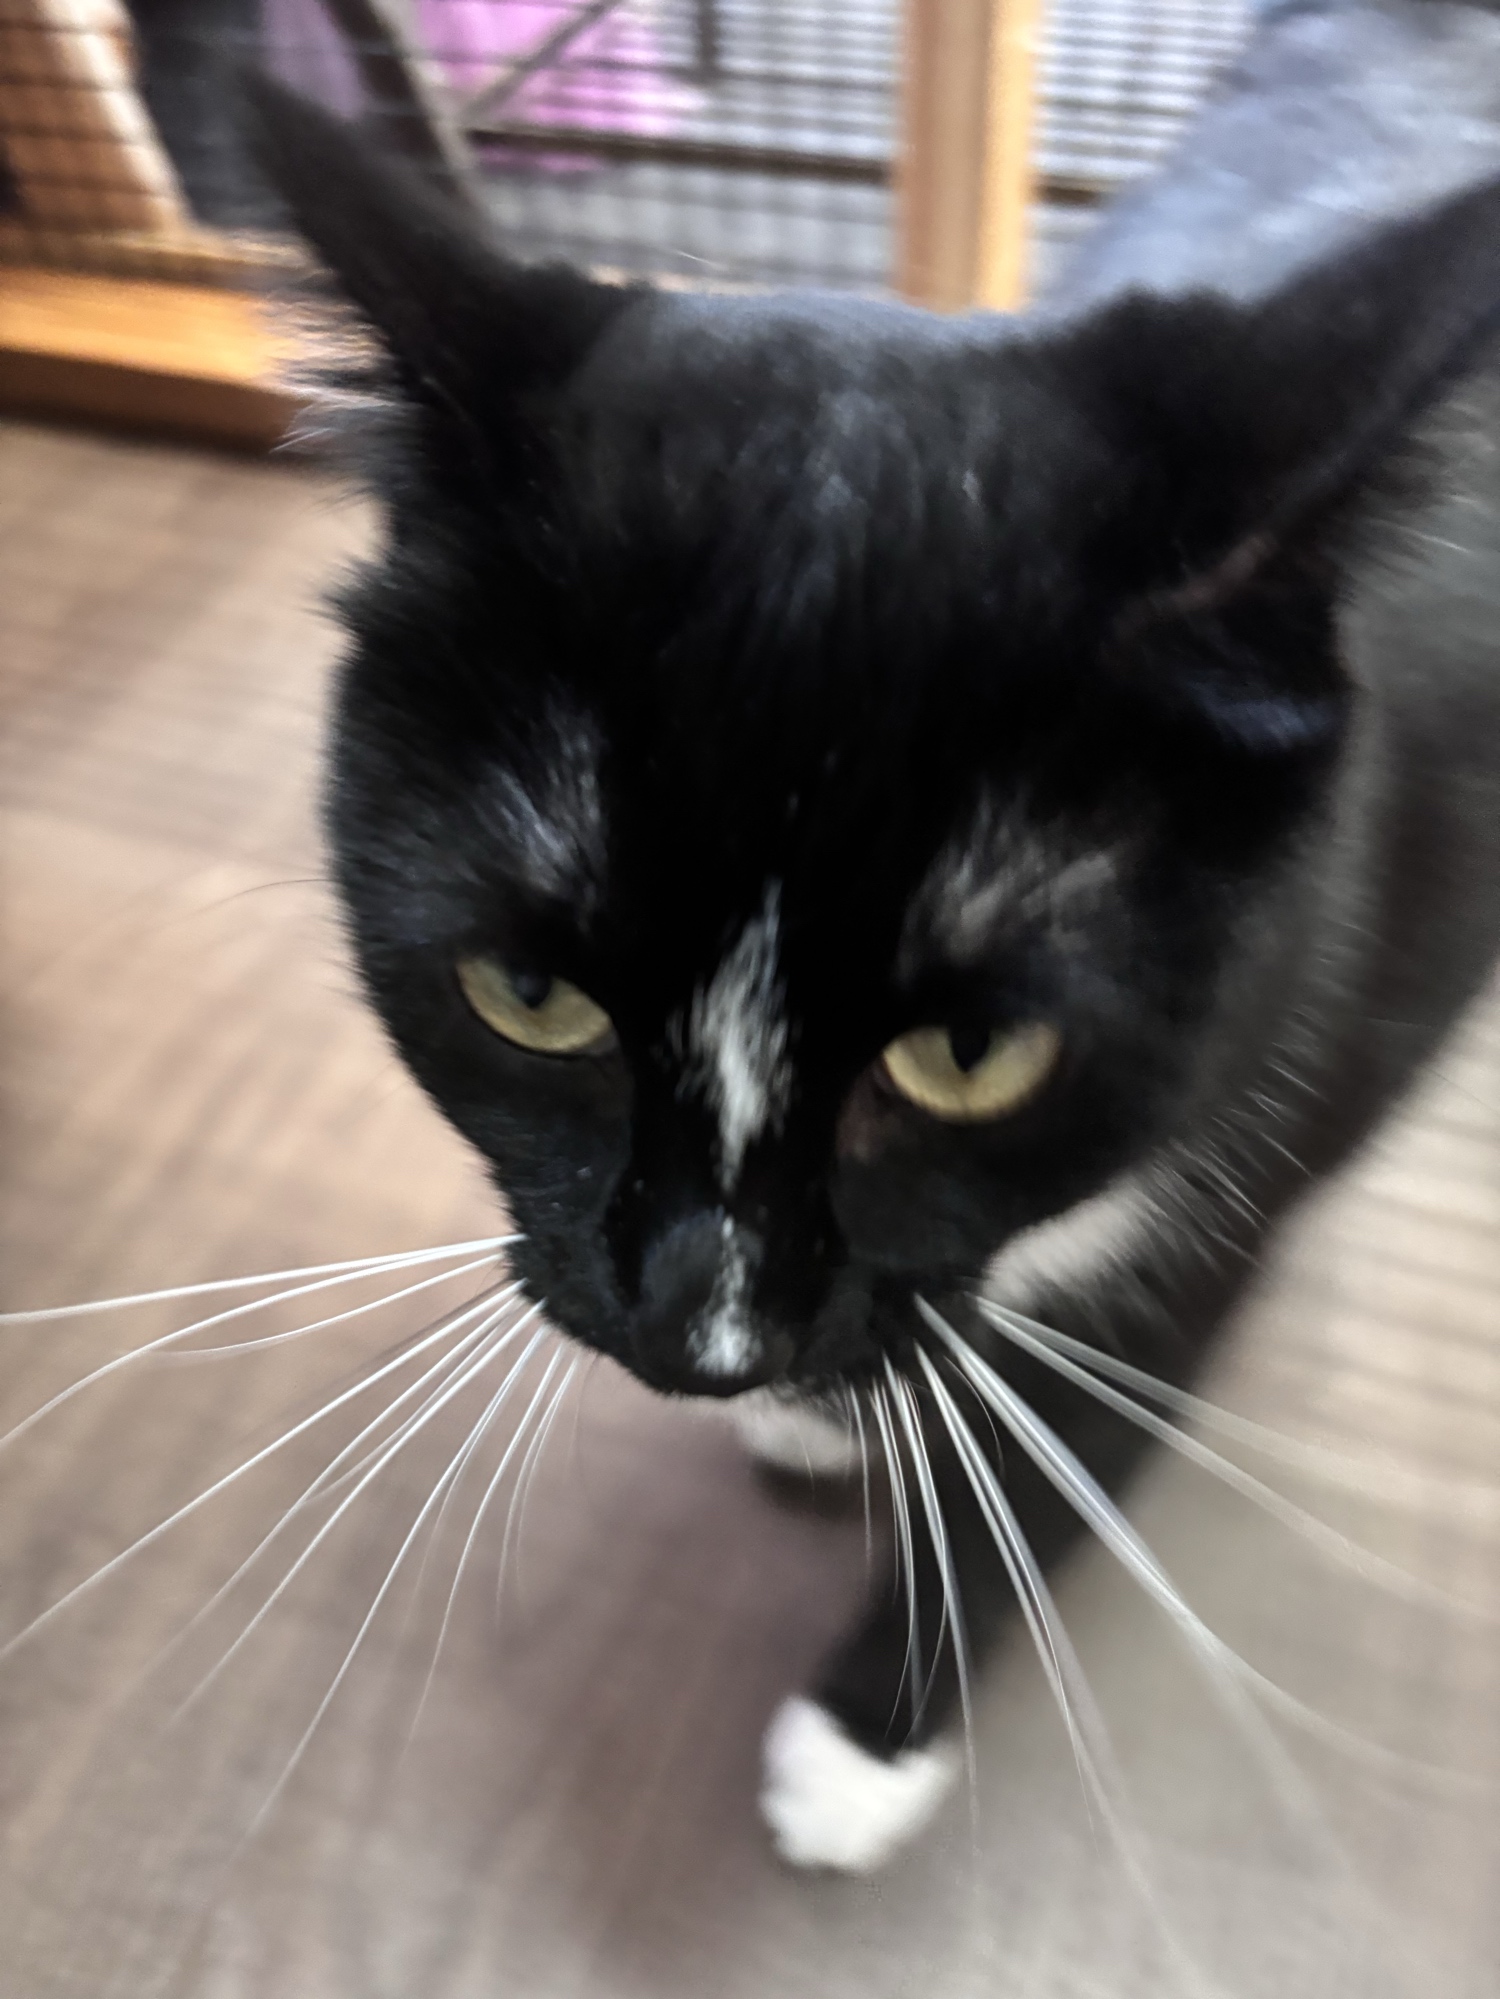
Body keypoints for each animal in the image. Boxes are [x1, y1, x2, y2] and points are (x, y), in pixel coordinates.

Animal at [243, 0, 1500, 1873]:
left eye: (973, 1054)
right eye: (527, 993)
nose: (700, 1332)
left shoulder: (1264, 1088)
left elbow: (1078, 1426)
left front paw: (865, 1727)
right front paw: (824, 1407)